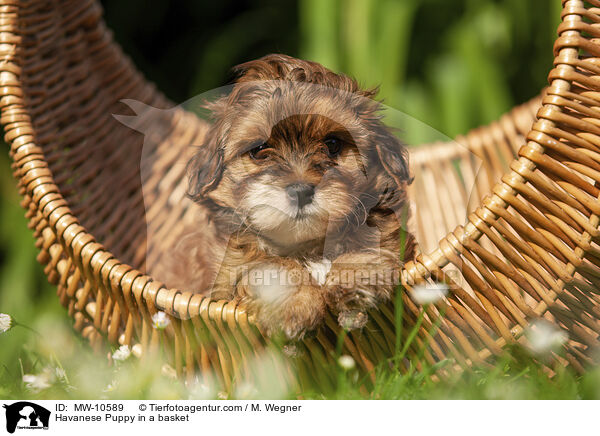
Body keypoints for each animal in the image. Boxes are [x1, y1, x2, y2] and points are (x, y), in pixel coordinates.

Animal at [180, 54, 412, 338]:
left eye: (332, 144)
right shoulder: (227, 272)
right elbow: (269, 266)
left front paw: (355, 278)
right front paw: (296, 305)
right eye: (259, 150)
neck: (307, 247)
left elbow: (370, 239)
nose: (300, 192)